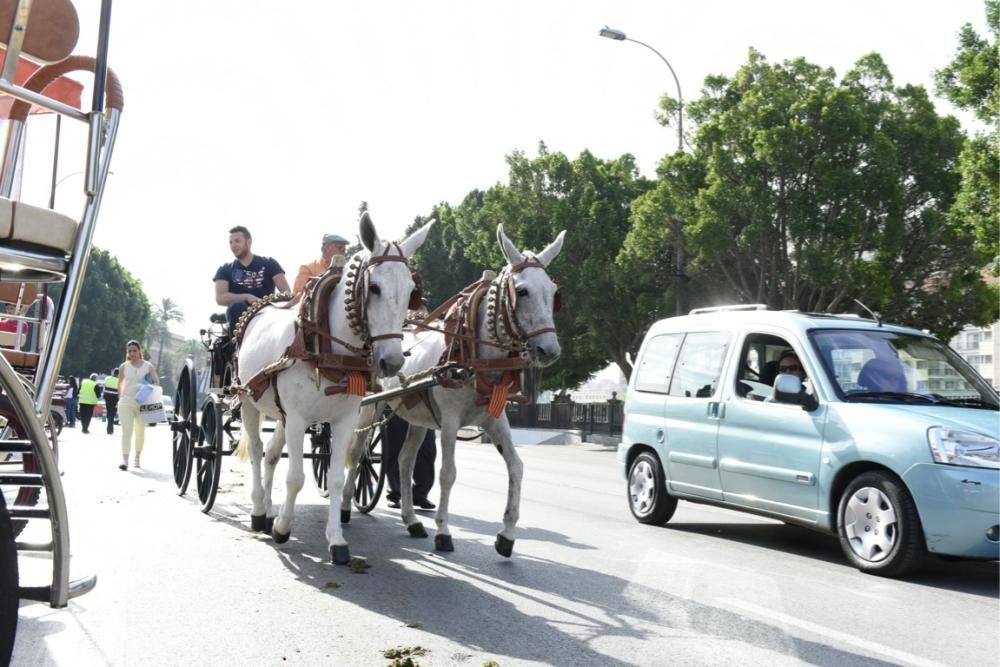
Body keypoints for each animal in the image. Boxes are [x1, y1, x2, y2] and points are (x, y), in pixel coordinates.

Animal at [240, 214, 436, 564]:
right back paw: (260, 511)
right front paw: (283, 528)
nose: (392, 362)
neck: (327, 346)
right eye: (374, 287)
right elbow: (296, 477)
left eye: (412, 290)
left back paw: (268, 512)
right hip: (249, 401)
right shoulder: (298, 418)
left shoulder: (344, 420)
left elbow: (334, 477)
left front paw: (336, 540)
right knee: (257, 449)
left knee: (272, 454)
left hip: (280, 413)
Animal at [342, 224, 564, 560]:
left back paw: (412, 520)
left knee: (405, 460)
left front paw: (507, 534)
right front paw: (444, 532)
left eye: (553, 293)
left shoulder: (495, 420)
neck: (475, 356)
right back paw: (344, 506)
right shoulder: (448, 421)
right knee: (357, 453)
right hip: (372, 406)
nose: (548, 350)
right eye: (523, 291)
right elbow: (448, 473)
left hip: (417, 416)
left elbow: (516, 466)